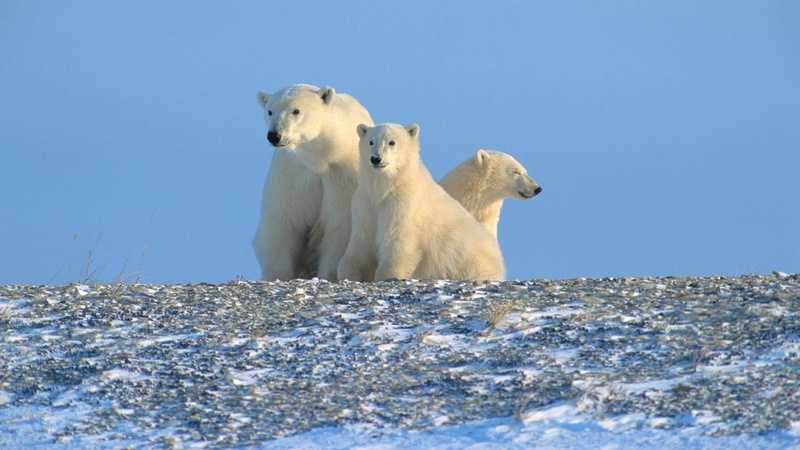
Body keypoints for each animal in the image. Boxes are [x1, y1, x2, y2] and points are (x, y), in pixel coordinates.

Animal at [254, 84, 373, 280]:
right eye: (270, 111)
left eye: (296, 110)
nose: (274, 135)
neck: (321, 158)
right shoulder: (292, 175)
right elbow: (283, 224)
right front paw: (278, 275)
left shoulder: (343, 178)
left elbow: (339, 227)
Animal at [337, 123, 506, 282]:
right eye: (371, 141)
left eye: (392, 142)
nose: (376, 158)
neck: (388, 188)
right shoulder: (366, 203)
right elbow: (362, 240)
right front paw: (349, 272)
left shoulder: (403, 205)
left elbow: (398, 241)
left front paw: (387, 274)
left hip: (470, 262)